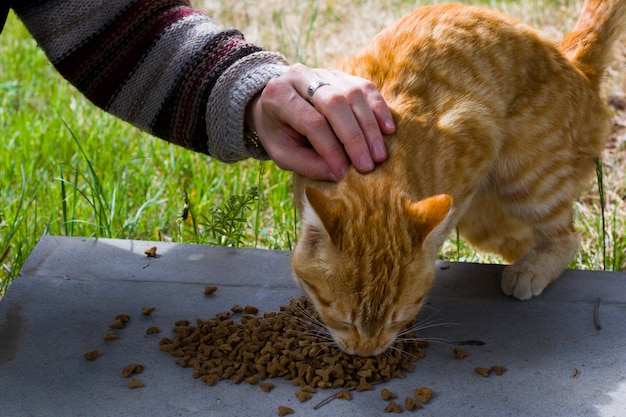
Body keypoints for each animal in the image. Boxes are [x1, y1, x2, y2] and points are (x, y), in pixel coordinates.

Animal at [290, 1, 624, 356]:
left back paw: (530, 269)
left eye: (396, 320)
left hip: (528, 178)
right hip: (489, 223)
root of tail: (573, 62)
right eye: (343, 320)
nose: (367, 352)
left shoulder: (476, 131)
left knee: (567, 237)